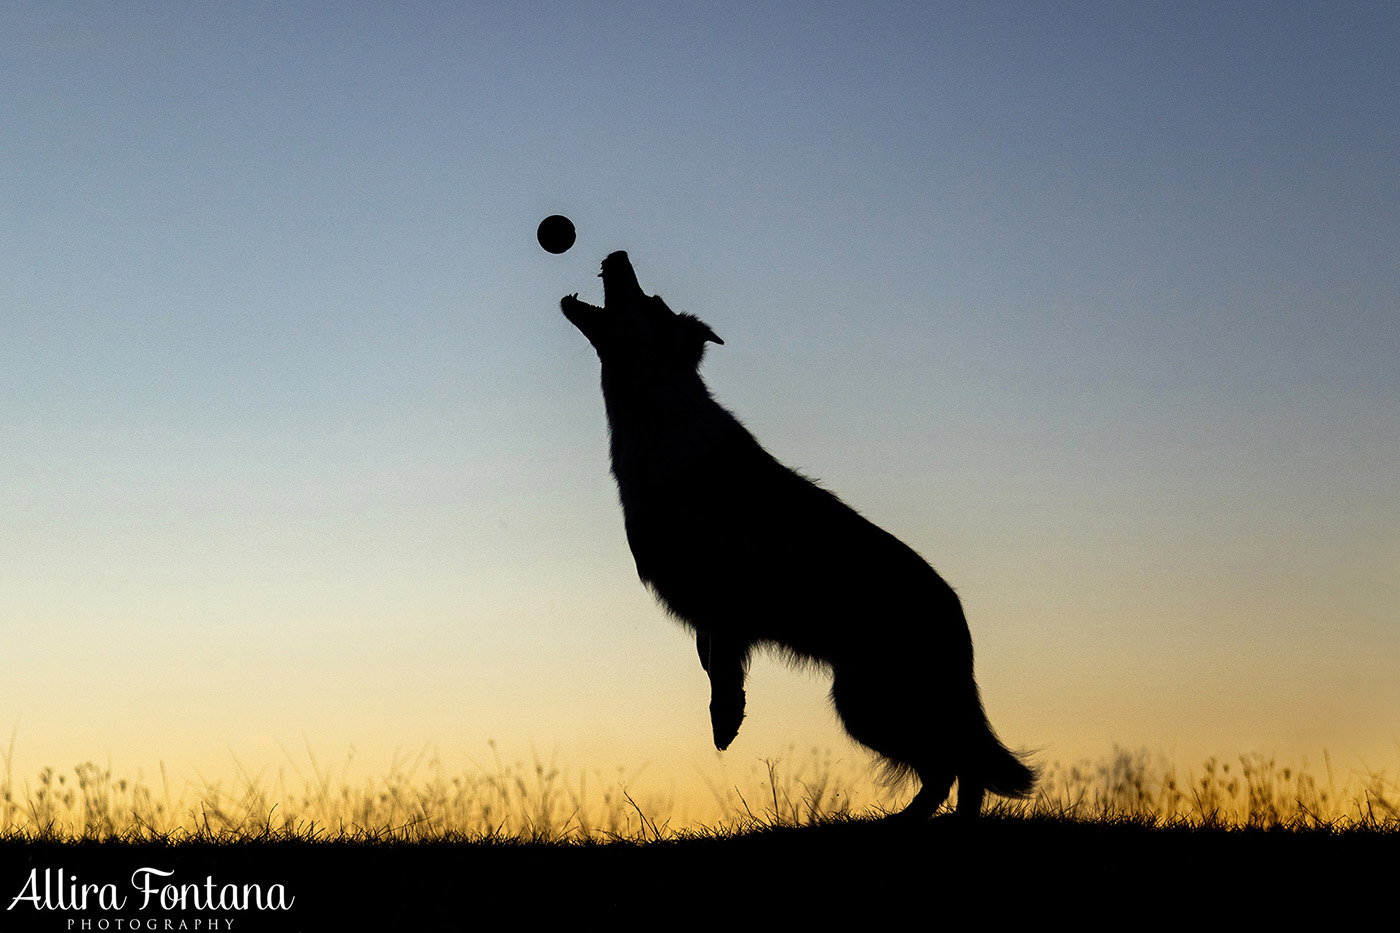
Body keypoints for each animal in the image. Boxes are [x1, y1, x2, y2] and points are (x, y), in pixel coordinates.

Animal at [562, 252, 1036, 812]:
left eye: (650, 302)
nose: (616, 256)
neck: (658, 414)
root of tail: (956, 613)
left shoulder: (724, 594)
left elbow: (722, 668)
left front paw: (726, 718)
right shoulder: (713, 614)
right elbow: (710, 659)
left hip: (870, 703)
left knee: (954, 761)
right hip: (875, 702)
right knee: (960, 765)